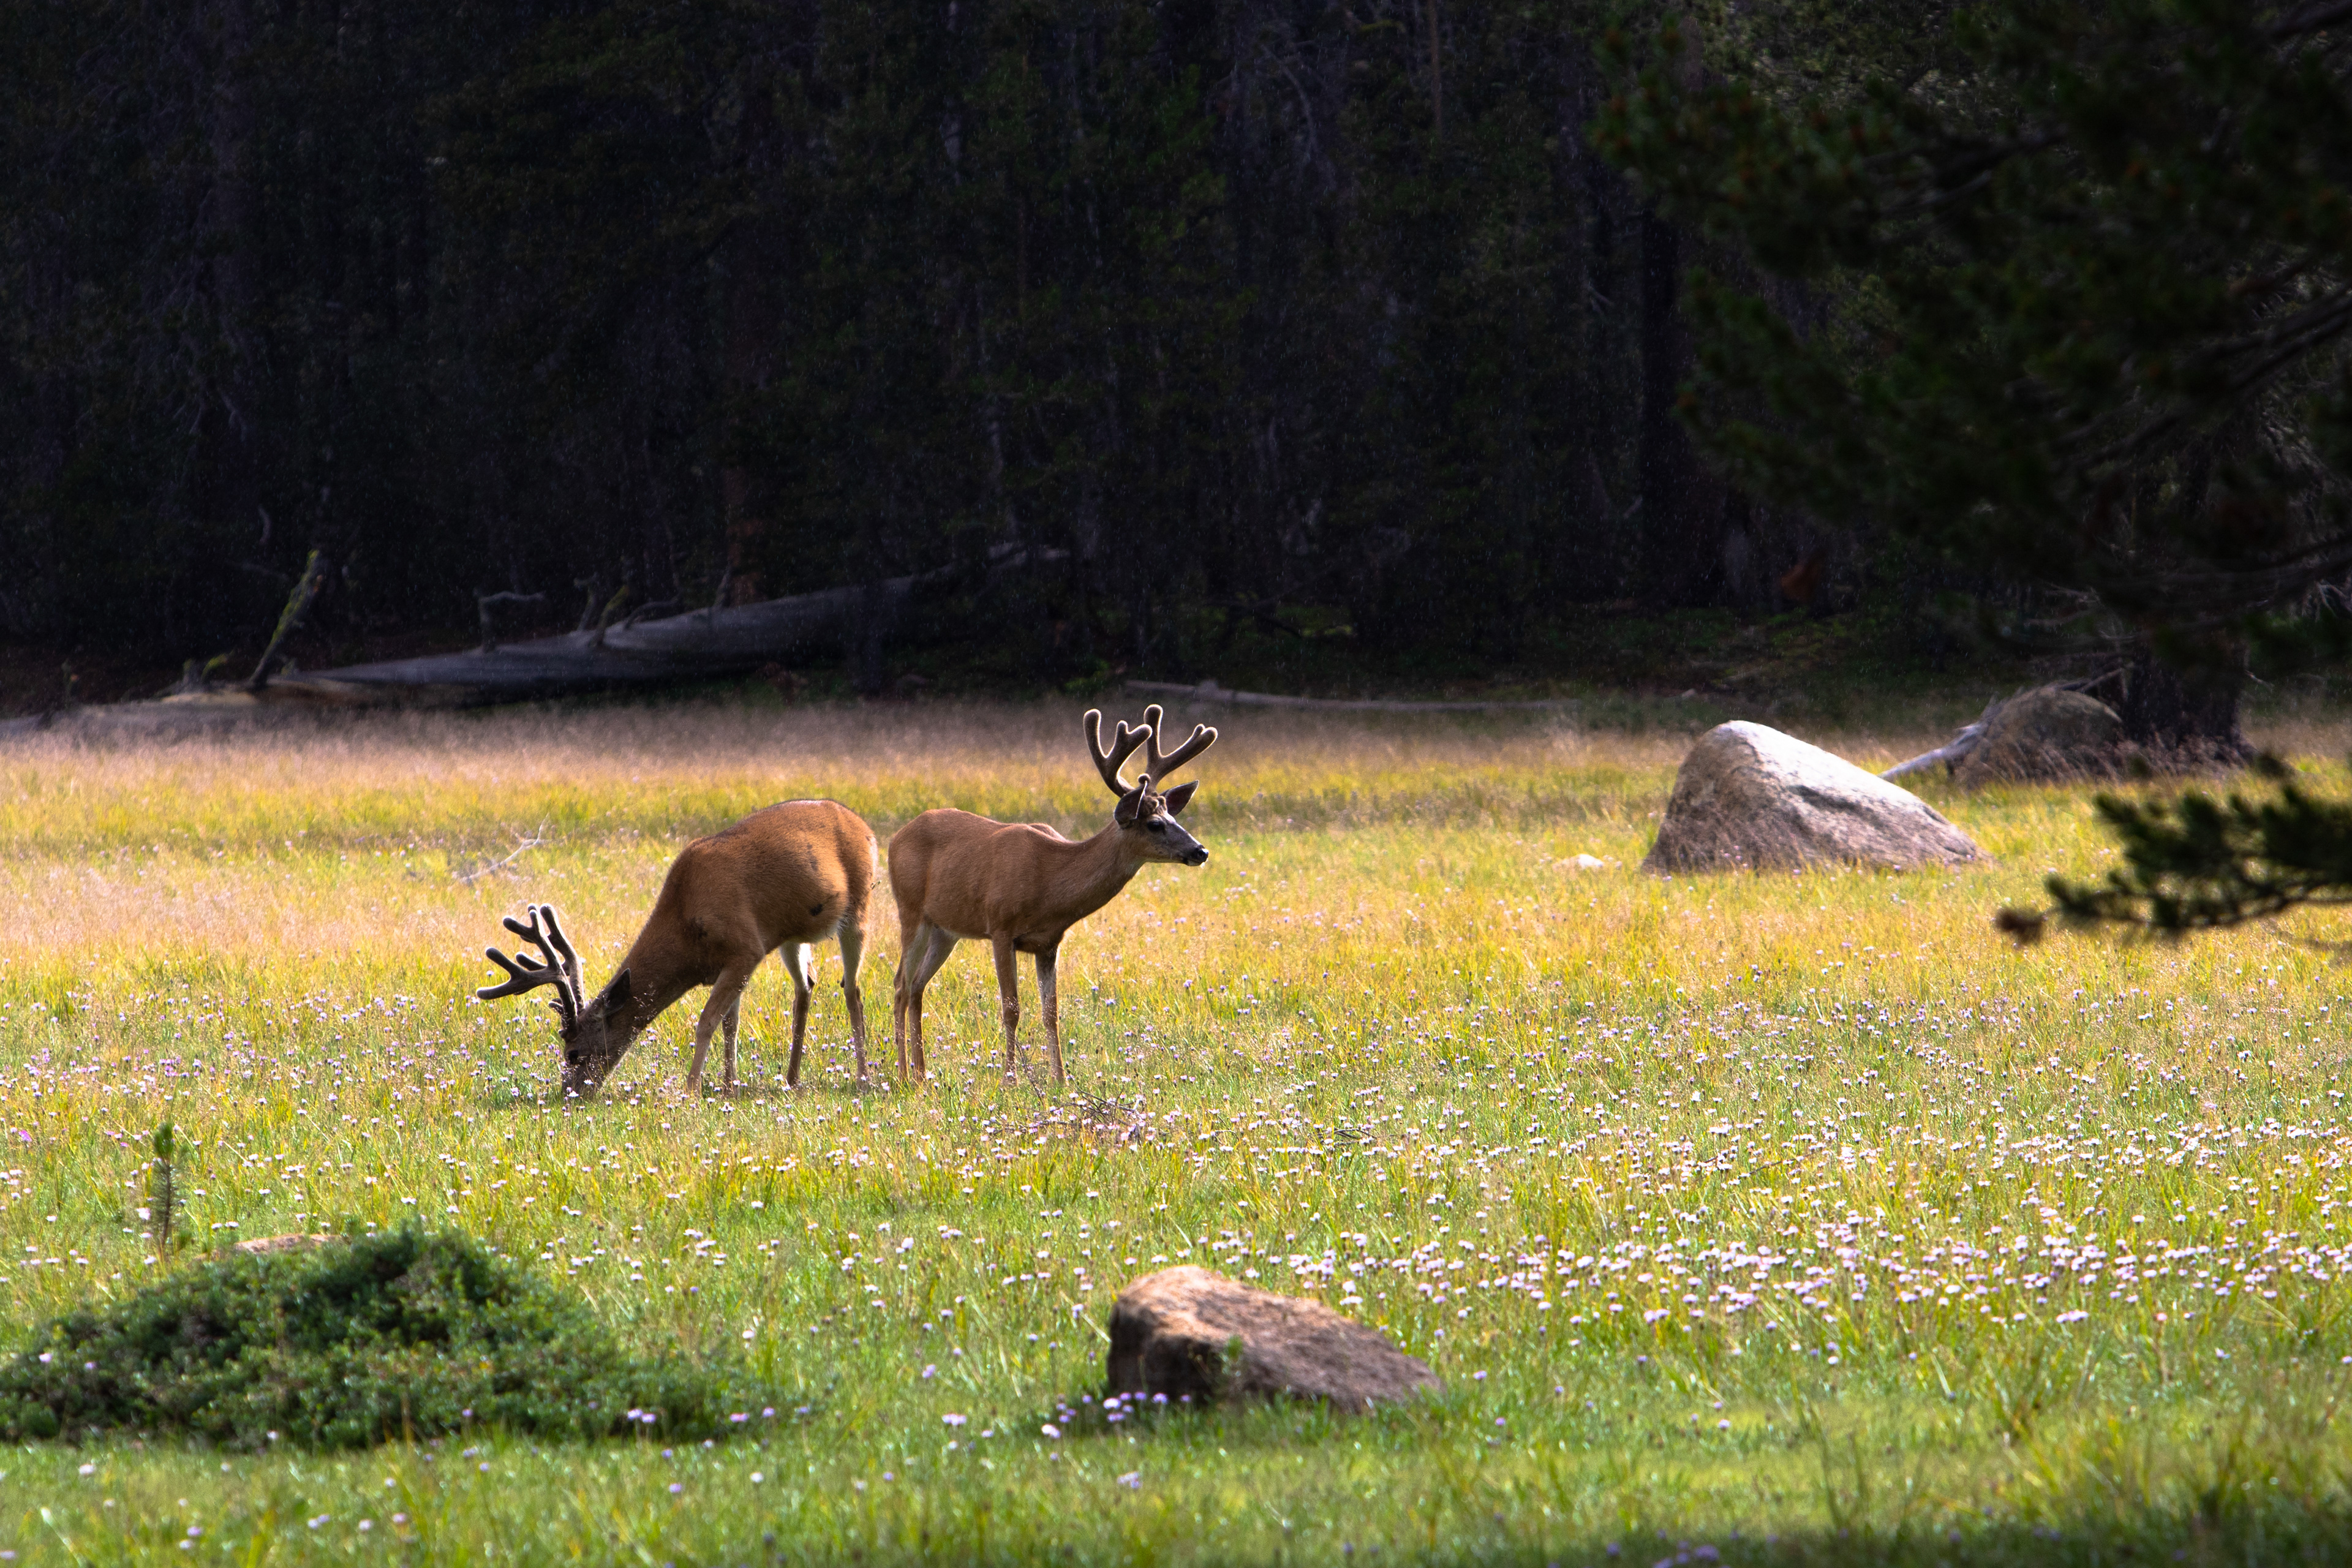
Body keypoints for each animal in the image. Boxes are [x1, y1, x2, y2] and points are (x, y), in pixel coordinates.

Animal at [473, 798, 877, 1098]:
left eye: (574, 1053)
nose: (568, 1094)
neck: (686, 926)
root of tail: (866, 828)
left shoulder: (746, 948)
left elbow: (707, 1021)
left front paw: (692, 1090)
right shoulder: (737, 958)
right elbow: (730, 1024)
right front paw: (729, 1087)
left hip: (858, 909)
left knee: (852, 989)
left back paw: (863, 1079)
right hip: (793, 935)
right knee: (806, 985)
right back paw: (792, 1079)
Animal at [887, 705, 1217, 1087]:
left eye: (1173, 817)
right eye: (1154, 824)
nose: (1200, 851)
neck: (1049, 884)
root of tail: (896, 837)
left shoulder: (1048, 943)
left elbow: (1051, 1012)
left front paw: (1060, 1080)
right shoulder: (1000, 926)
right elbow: (1012, 1008)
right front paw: (1010, 1080)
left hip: (946, 930)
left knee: (917, 986)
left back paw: (921, 1073)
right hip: (910, 910)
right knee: (900, 983)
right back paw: (902, 1073)